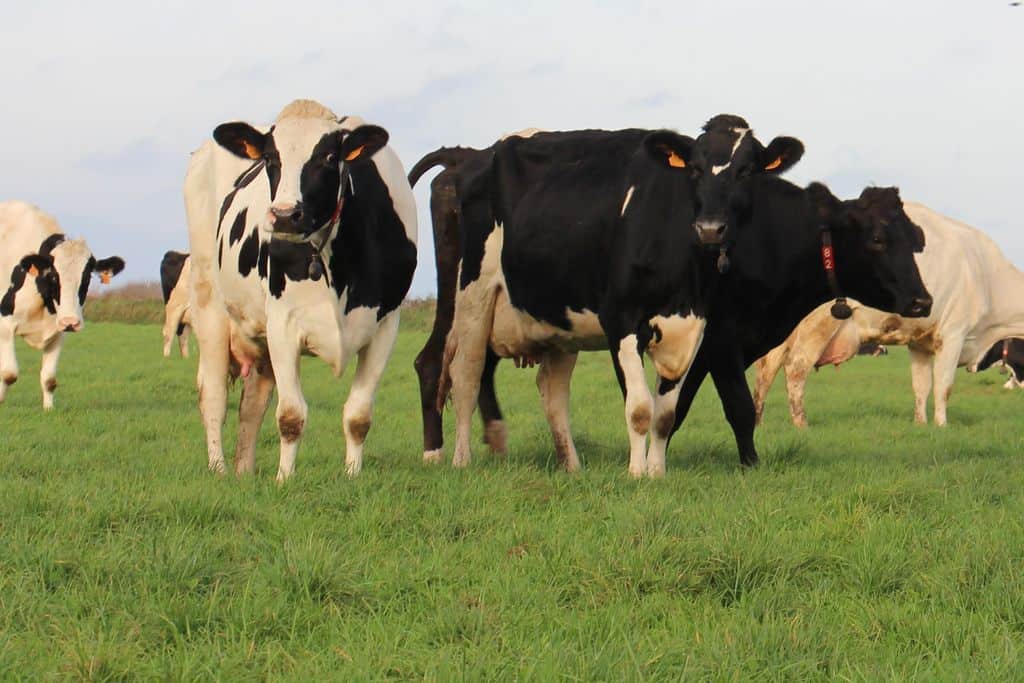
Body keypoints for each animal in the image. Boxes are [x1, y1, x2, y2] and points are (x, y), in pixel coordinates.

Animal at [0, 200, 124, 409]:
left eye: (87, 277)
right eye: (53, 276)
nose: (71, 321)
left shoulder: (58, 331)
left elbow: (49, 379)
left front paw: (49, 409)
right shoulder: (5, 325)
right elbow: (9, 374)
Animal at [186, 98, 417, 481]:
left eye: (328, 157)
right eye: (270, 158)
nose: (283, 216)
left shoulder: (386, 325)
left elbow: (358, 416)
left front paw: (352, 476)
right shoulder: (283, 324)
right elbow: (291, 416)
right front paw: (284, 480)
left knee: (252, 404)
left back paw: (244, 472)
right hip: (209, 304)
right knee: (214, 396)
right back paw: (219, 468)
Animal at [753, 202, 1024, 428]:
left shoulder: (919, 343)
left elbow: (921, 387)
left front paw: (920, 424)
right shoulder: (953, 333)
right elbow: (943, 386)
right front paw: (942, 426)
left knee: (765, 371)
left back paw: (758, 422)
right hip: (817, 326)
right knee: (795, 369)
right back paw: (802, 426)